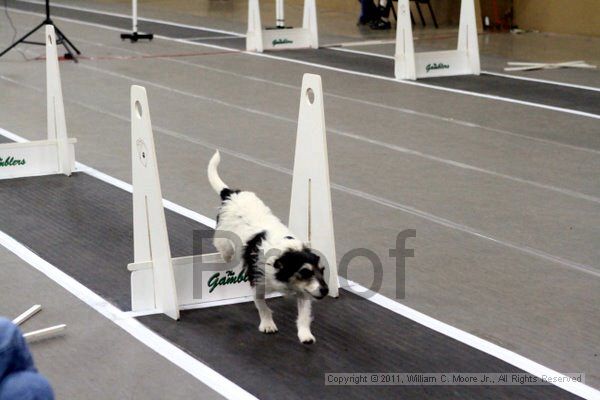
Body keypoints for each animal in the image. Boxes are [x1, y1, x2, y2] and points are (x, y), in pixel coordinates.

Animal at [206, 150, 328, 344]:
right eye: (305, 272)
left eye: (322, 271)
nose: (325, 290)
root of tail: (231, 194)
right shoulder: (258, 282)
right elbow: (262, 306)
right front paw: (268, 324)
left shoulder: (304, 292)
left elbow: (303, 314)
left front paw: (305, 334)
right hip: (223, 241)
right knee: (224, 250)